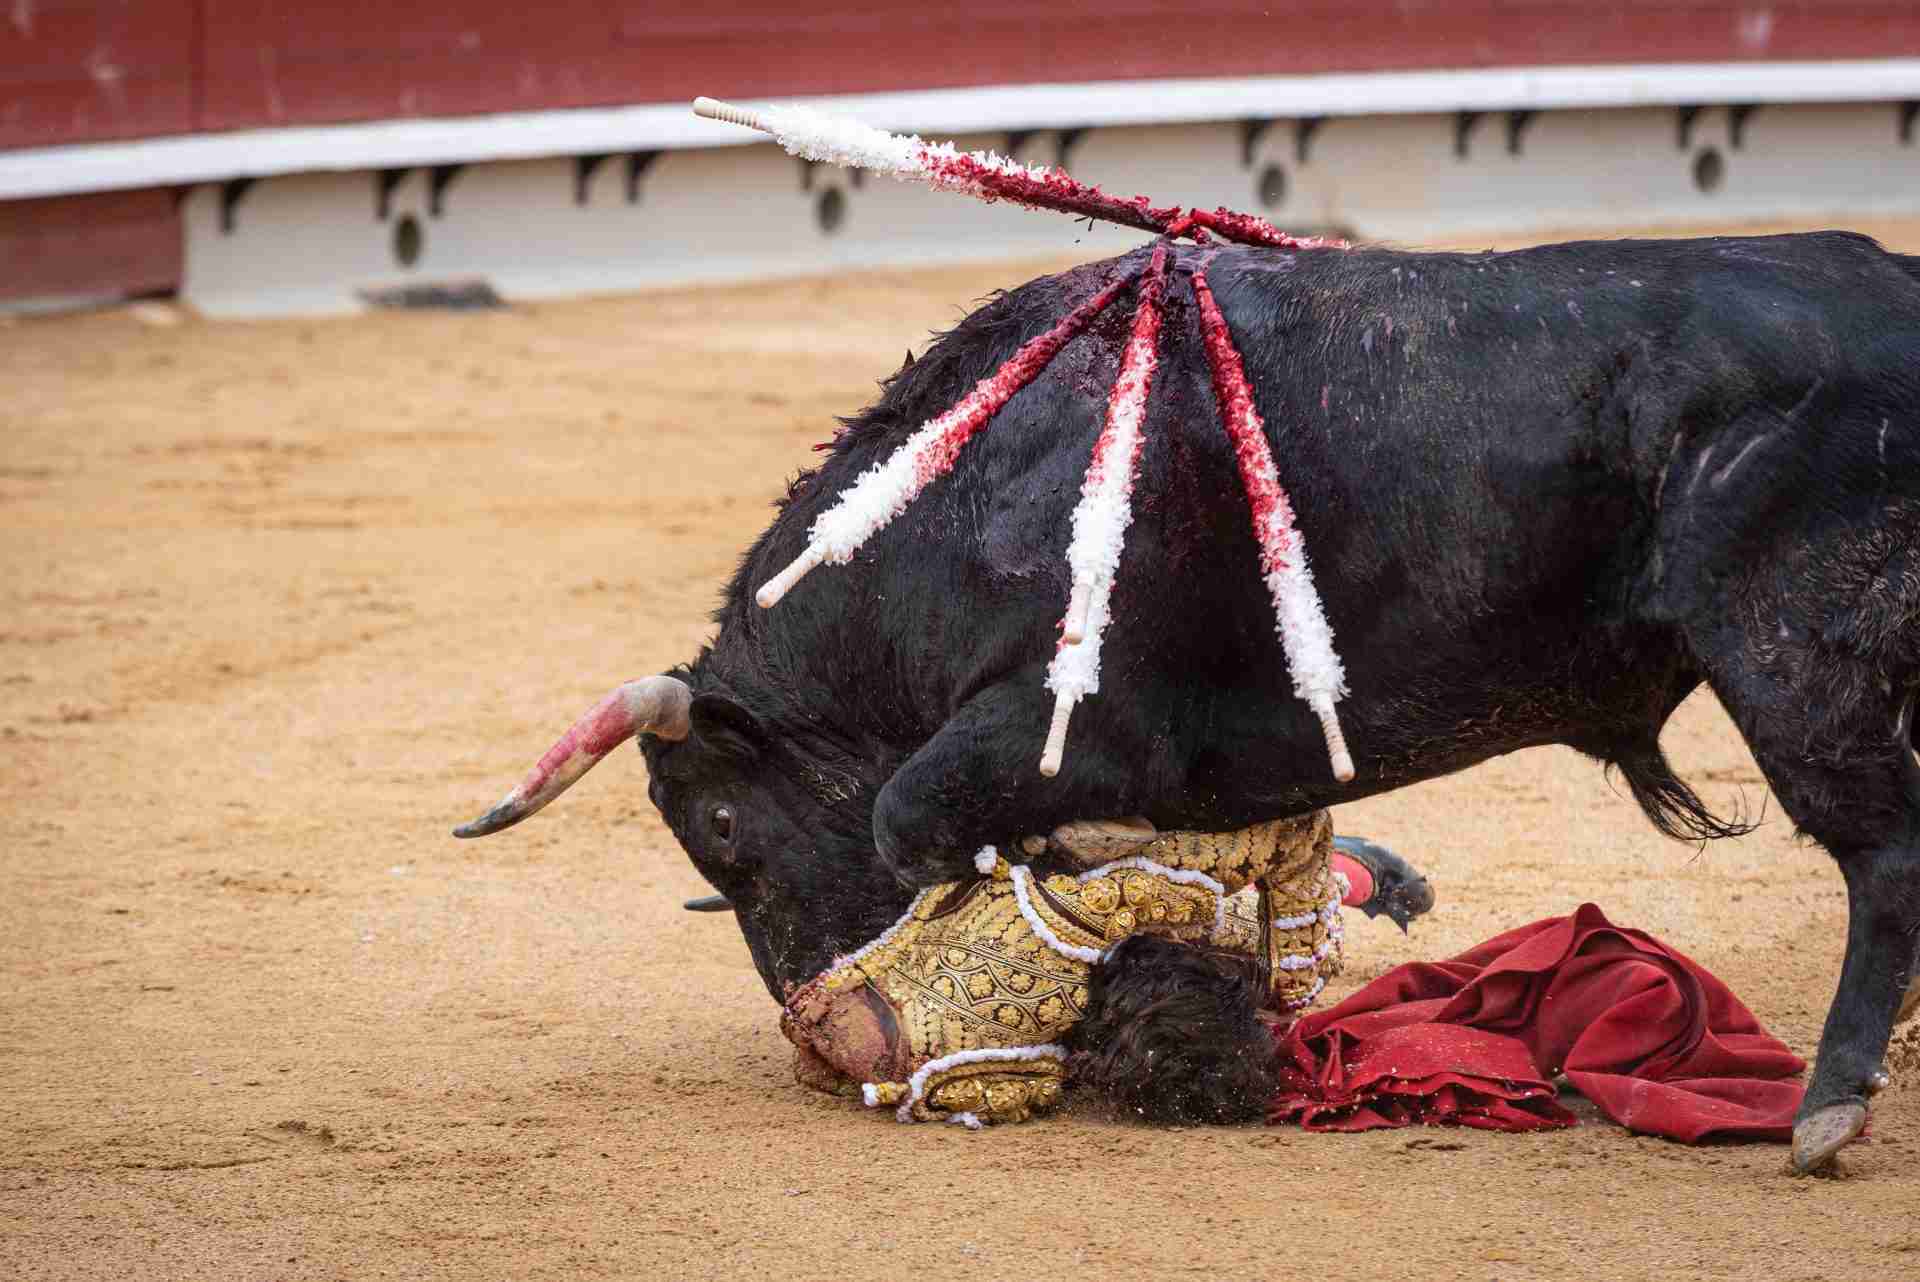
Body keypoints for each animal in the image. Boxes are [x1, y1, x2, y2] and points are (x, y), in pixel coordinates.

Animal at [464, 230, 1920, 1174]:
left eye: (722, 827)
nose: (819, 1033)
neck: (964, 501)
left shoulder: (1057, 717)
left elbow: (911, 820)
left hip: (1794, 650)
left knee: (1887, 856)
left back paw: (1828, 1110)